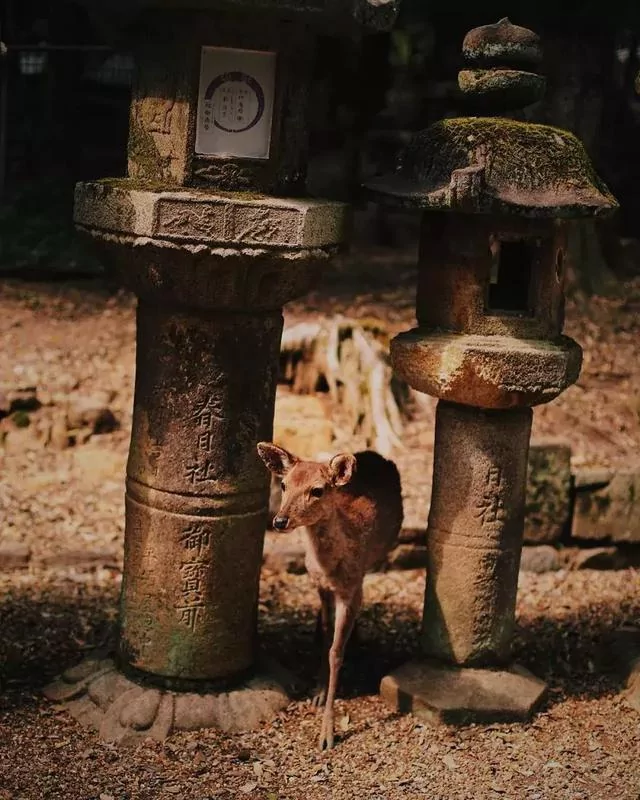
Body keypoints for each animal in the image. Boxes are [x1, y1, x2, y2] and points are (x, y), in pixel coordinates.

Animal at [257, 442, 404, 750]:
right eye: (284, 484)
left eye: (317, 490)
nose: (280, 520)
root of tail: (374, 454)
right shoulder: (320, 586)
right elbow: (326, 637)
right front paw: (318, 692)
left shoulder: (350, 588)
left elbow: (336, 651)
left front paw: (327, 734)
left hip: (371, 565)